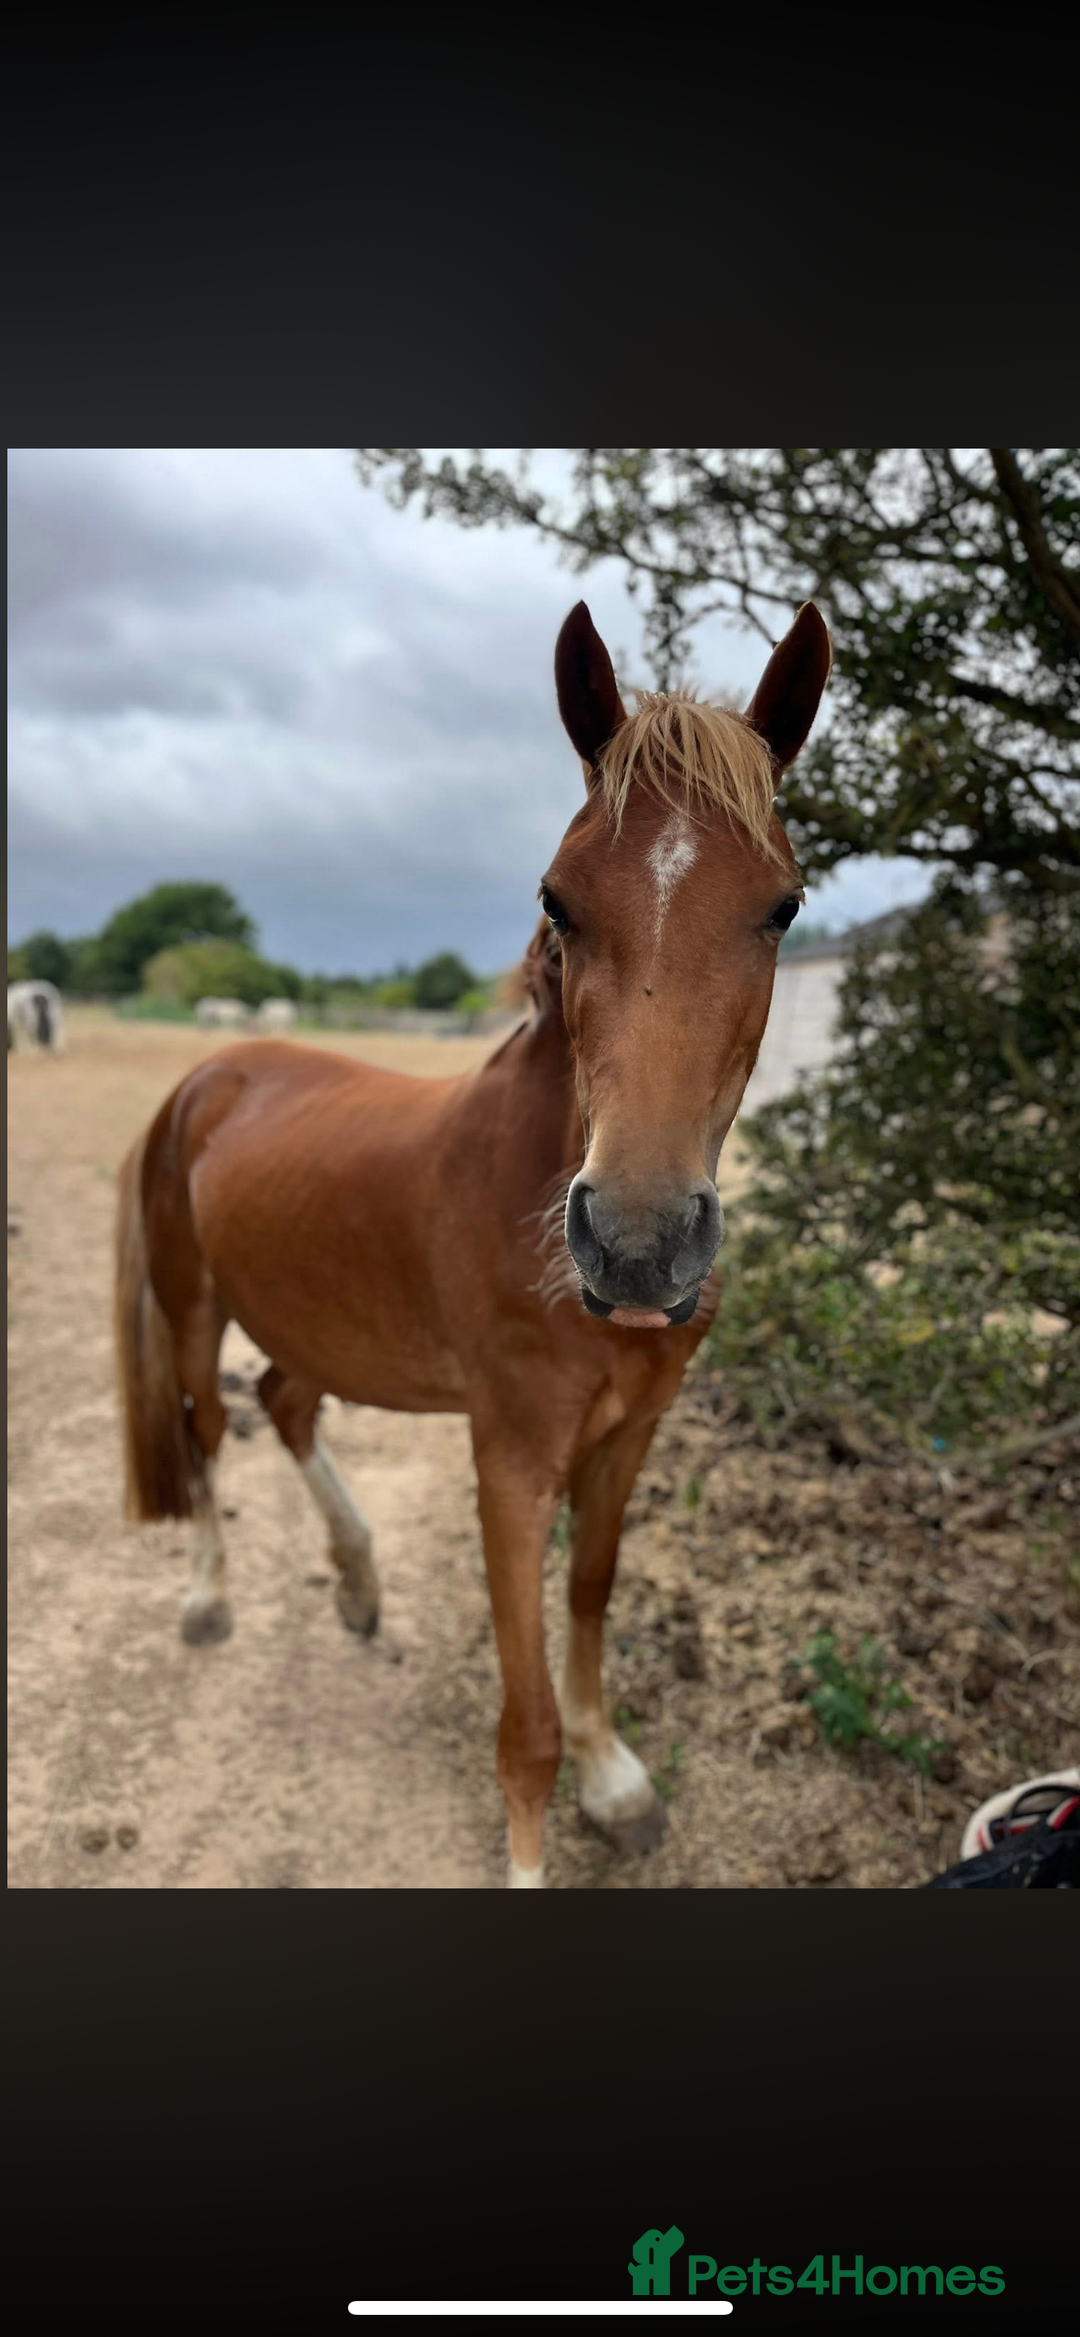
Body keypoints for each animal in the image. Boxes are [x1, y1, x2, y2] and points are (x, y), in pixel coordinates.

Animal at [114, 599, 831, 1888]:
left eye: (783, 906)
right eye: (558, 901)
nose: (638, 1246)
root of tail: (211, 1072)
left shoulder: (627, 1439)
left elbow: (591, 1593)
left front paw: (615, 1777)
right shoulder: (509, 1461)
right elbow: (524, 1725)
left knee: (285, 1404)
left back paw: (357, 1581)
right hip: (193, 1307)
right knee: (203, 1434)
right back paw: (207, 1600)